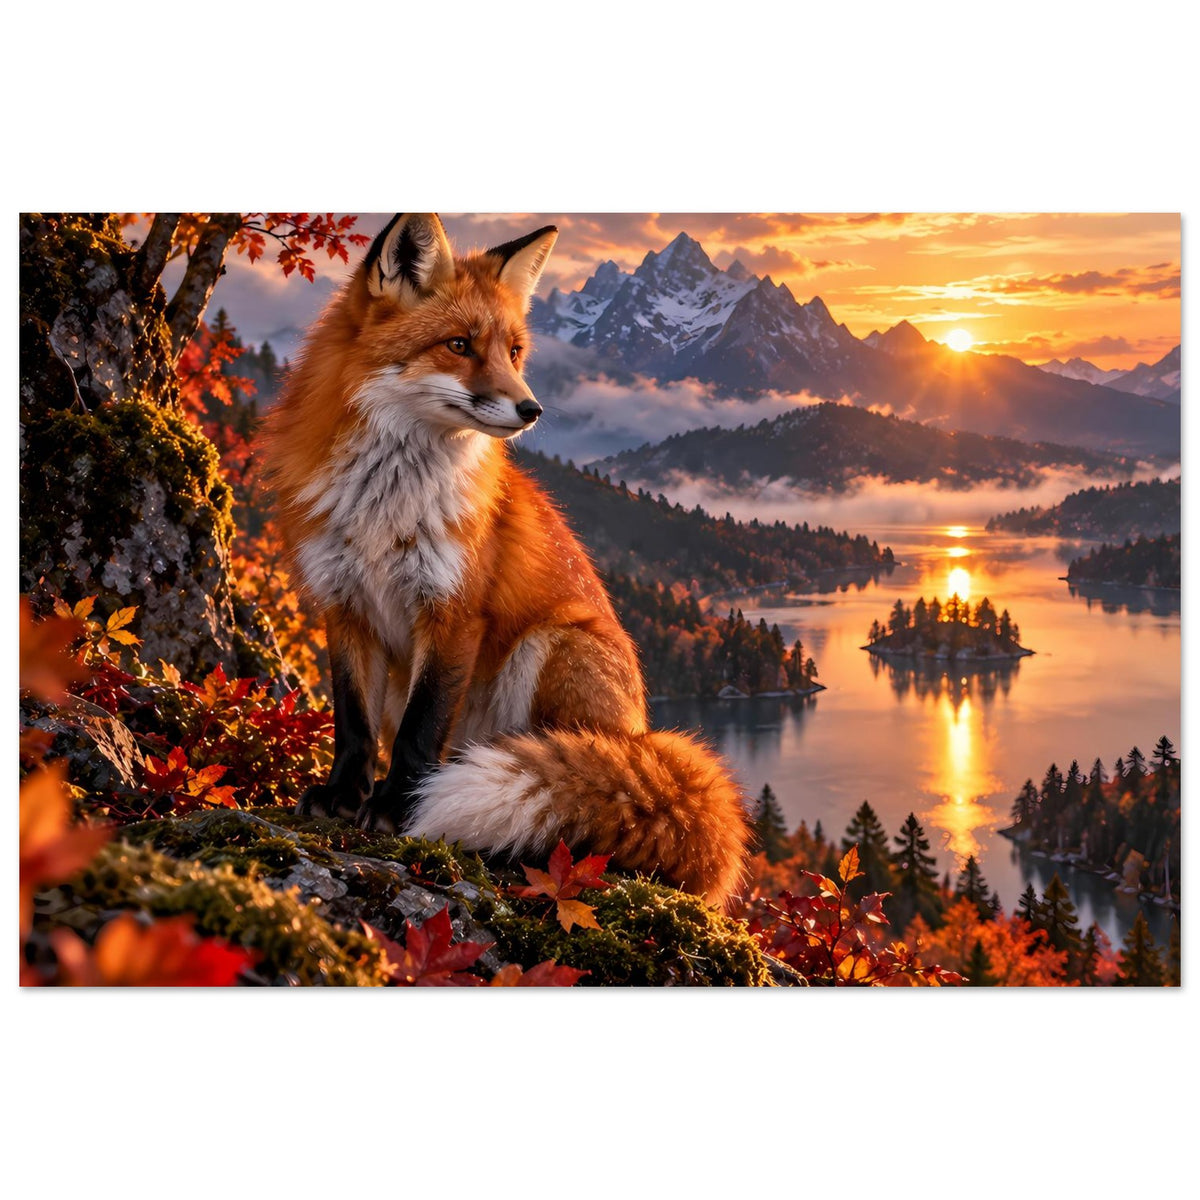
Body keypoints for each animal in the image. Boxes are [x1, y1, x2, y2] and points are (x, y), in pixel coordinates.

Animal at [265, 213, 750, 908]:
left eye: (514, 353)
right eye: (460, 345)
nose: (532, 409)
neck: (385, 506)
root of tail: (641, 734)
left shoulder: (454, 611)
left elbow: (418, 731)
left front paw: (398, 810)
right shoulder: (344, 603)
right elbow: (353, 724)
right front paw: (343, 798)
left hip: (552, 645)